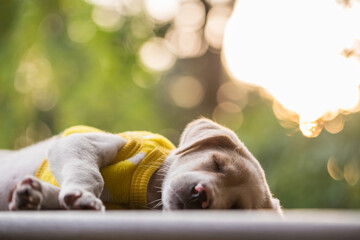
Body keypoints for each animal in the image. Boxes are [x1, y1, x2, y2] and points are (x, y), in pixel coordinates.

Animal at [0, 118, 282, 214]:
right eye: (217, 163)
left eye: (235, 207)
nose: (200, 195)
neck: (147, 190)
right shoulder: (77, 143)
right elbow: (91, 175)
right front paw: (83, 196)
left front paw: (32, 195)